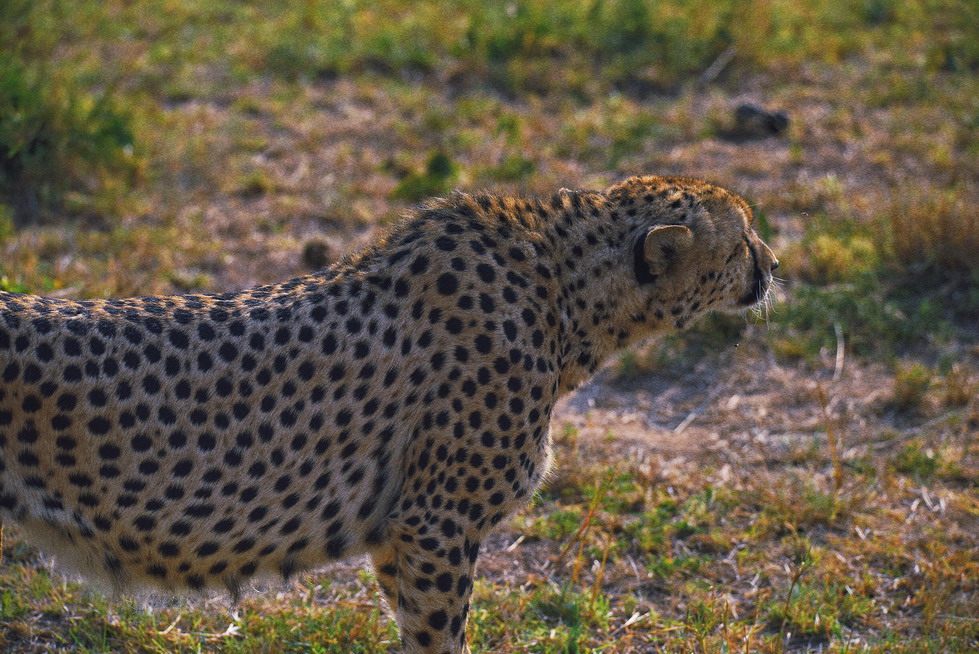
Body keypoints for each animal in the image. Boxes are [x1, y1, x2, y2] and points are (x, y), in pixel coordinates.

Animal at [1, 176, 780, 654]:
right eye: (741, 237)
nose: (773, 264)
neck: (564, 293)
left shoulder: (397, 530)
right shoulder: (435, 524)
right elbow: (440, 636)